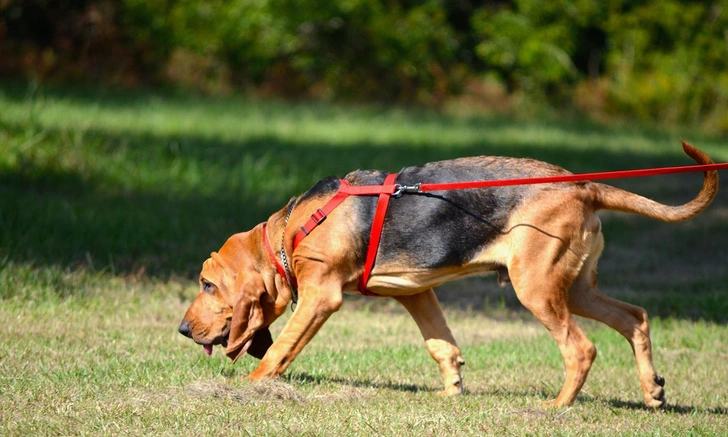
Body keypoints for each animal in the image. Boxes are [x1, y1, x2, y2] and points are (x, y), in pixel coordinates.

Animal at [181, 141, 716, 408]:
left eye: (208, 285)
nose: (183, 329)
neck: (293, 229)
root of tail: (583, 186)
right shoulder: (416, 295)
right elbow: (442, 345)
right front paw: (452, 390)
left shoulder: (321, 298)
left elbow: (282, 350)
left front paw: (252, 386)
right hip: (576, 287)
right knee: (635, 317)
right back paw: (652, 392)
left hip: (538, 289)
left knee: (581, 348)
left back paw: (556, 407)